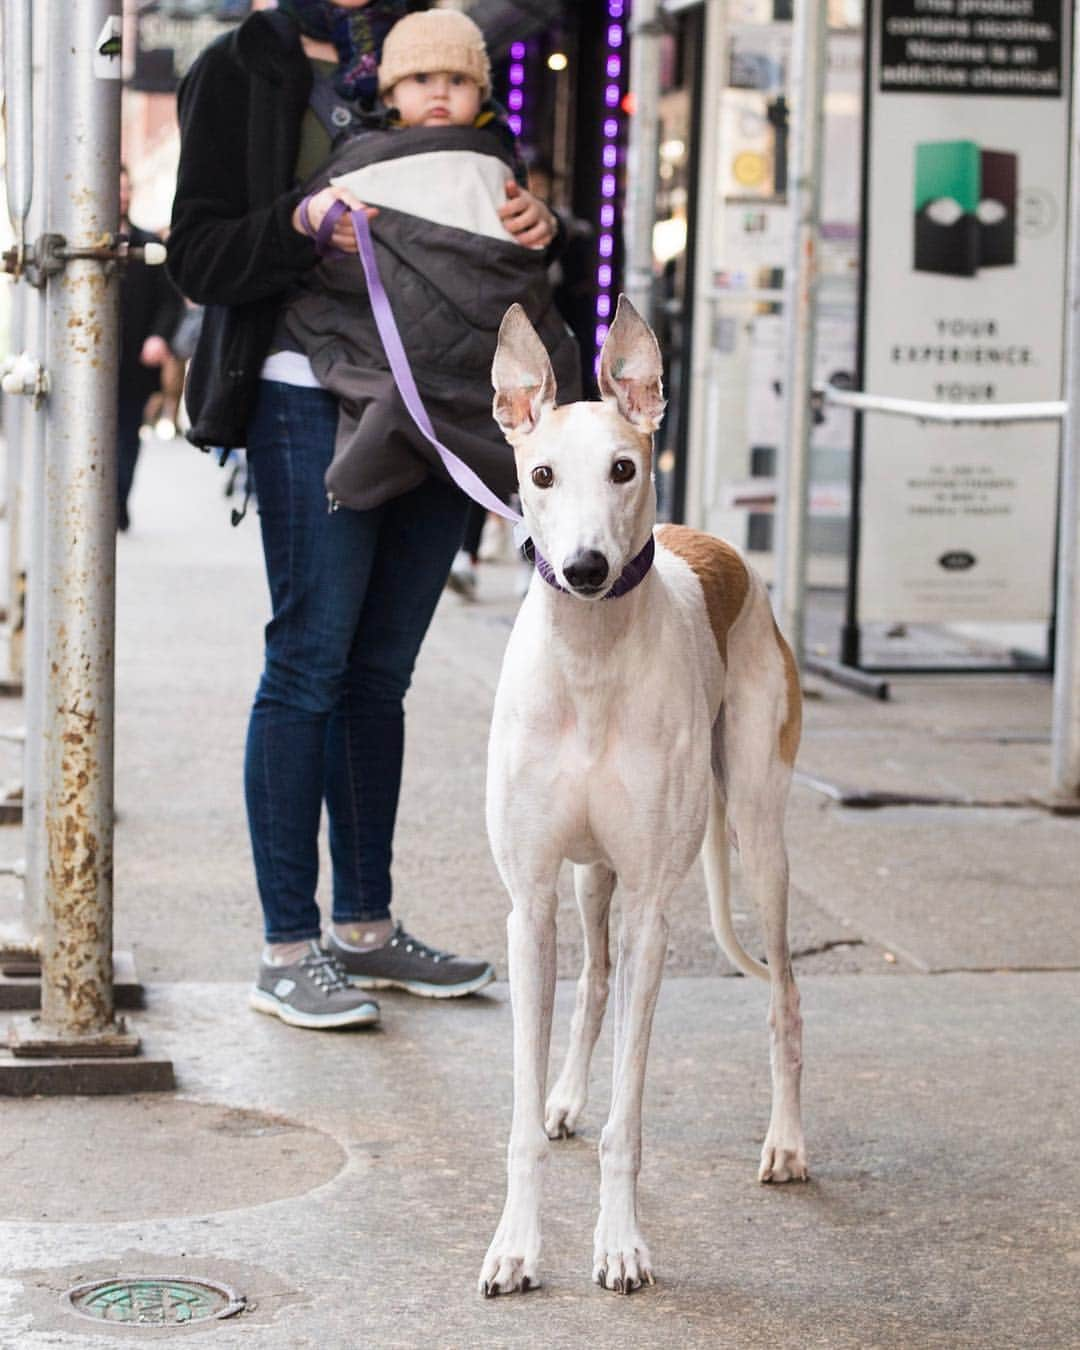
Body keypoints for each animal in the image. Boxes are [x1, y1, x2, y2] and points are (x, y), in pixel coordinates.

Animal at [477, 295, 804, 1296]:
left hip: (757, 833)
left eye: (625, 468)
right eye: (540, 473)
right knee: (594, 983)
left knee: (785, 995)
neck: (589, 660)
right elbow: (520, 1112)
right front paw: (515, 1245)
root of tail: (722, 542)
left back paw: (787, 1142)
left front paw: (619, 1244)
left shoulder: (657, 910)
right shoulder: (530, 904)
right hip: (592, 878)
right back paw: (565, 1097)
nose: (585, 567)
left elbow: (629, 1123)